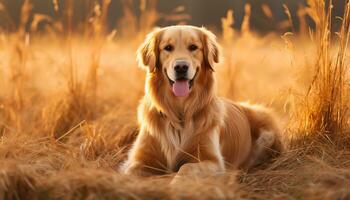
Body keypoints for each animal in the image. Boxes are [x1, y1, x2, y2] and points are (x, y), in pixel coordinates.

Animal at [121, 25, 284, 180]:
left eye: (193, 47)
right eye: (167, 48)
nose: (181, 67)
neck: (180, 113)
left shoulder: (214, 161)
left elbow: (186, 168)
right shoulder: (139, 160)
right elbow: (128, 174)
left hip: (266, 133)